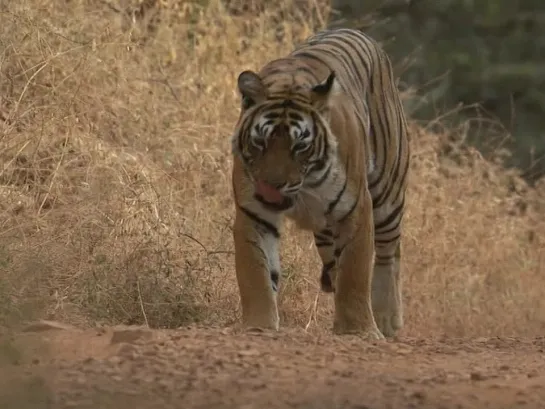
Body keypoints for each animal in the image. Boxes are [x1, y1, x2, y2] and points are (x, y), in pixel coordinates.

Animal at [228, 26, 408, 338]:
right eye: (261, 141)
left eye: (300, 145)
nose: (271, 186)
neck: (305, 188)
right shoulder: (254, 213)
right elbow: (255, 272)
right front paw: (258, 325)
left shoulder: (356, 208)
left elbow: (355, 271)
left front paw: (359, 330)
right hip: (325, 229)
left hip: (388, 194)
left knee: (389, 255)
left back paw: (388, 321)